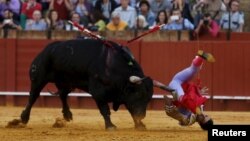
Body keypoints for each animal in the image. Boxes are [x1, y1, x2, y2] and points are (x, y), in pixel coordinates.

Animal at [17, 38, 153, 130]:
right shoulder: (98, 92)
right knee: (33, 96)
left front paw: (140, 124)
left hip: (66, 82)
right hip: (38, 79)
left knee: (63, 95)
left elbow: (131, 109)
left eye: (148, 99)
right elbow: (105, 109)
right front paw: (110, 126)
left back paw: (67, 115)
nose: (142, 116)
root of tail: (45, 51)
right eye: (138, 94)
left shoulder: (123, 95)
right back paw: (24, 118)